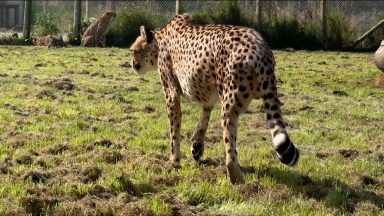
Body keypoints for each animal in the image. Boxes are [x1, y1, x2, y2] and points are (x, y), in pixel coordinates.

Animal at [129, 13, 300, 184]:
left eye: (134, 50)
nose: (132, 63)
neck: (160, 40)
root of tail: (258, 46)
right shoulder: (209, 92)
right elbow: (204, 118)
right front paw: (197, 146)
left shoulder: (171, 93)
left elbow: (174, 130)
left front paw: (174, 161)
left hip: (229, 104)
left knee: (230, 150)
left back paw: (237, 180)